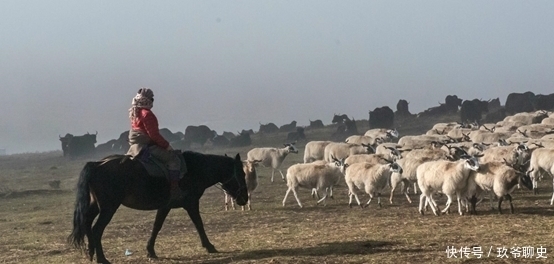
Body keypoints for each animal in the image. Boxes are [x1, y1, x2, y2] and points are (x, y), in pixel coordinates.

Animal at [67, 151, 246, 264]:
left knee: (87, 224)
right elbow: (199, 224)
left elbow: (156, 226)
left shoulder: (165, 206)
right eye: (242, 174)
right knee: (97, 229)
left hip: (95, 207)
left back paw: (91, 253)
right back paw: (102, 259)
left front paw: (150, 251)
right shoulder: (191, 204)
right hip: (108, 208)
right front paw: (209, 246)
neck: (194, 170)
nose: (244, 199)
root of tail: (97, 164)